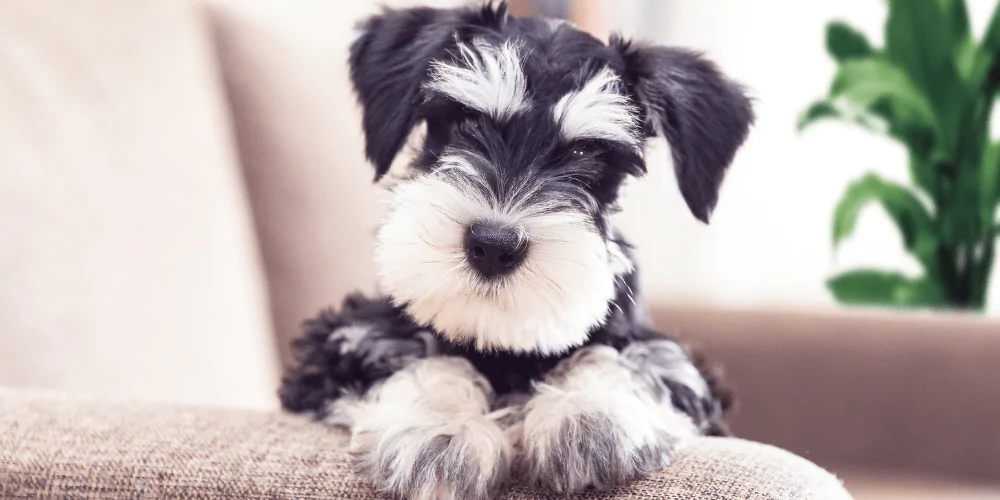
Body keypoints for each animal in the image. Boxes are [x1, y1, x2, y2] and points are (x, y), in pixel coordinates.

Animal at [280, 1, 752, 498]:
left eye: (586, 153)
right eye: (466, 121)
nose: (493, 245)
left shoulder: (679, 365)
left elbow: (637, 359)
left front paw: (589, 414)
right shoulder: (341, 339)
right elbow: (409, 355)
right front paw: (438, 431)